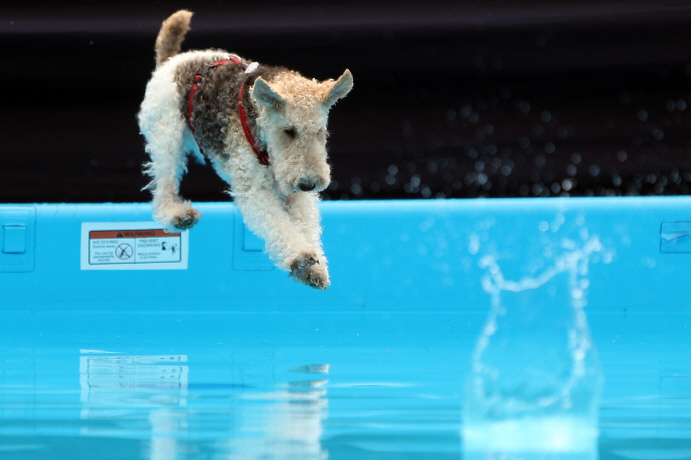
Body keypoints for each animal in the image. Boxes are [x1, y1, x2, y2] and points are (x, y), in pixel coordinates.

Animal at [139, 10, 354, 290]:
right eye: (289, 130)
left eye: (320, 131)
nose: (309, 184)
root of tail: (172, 61)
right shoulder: (254, 189)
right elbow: (278, 223)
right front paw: (299, 255)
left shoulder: (293, 189)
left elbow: (304, 223)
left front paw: (313, 268)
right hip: (167, 135)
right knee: (164, 187)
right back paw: (177, 213)